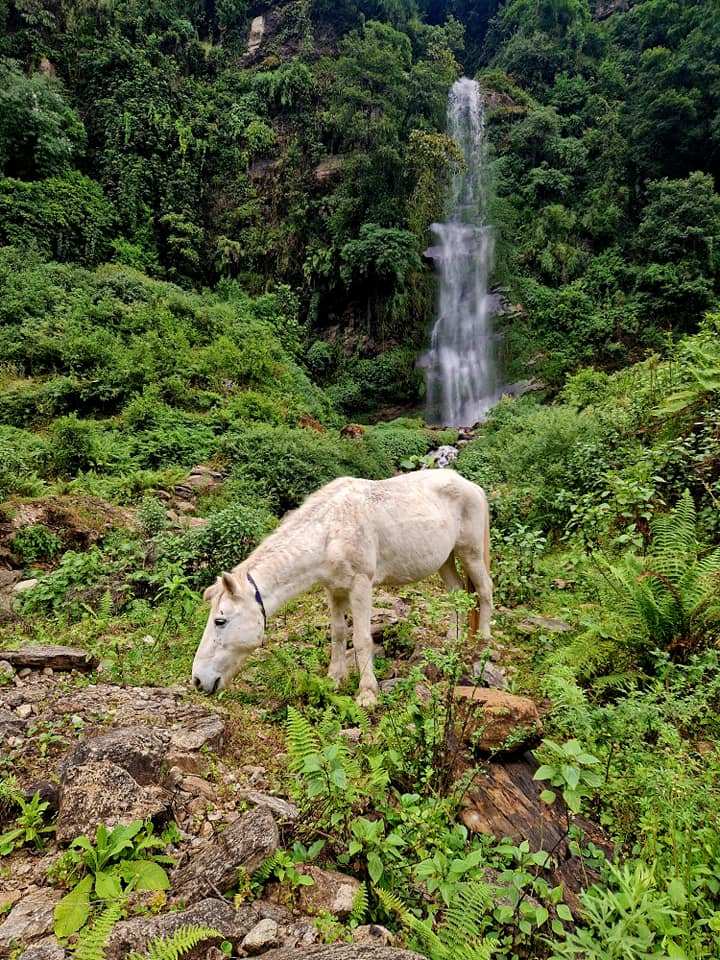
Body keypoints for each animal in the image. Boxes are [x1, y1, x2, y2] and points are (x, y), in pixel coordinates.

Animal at [191, 470, 492, 704]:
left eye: (220, 621)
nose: (197, 680)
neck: (328, 532)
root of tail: (471, 485)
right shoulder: (334, 590)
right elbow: (337, 633)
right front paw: (336, 678)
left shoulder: (361, 585)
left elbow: (361, 639)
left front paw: (367, 693)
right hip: (445, 558)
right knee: (456, 593)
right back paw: (452, 642)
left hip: (471, 553)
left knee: (485, 590)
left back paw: (484, 642)